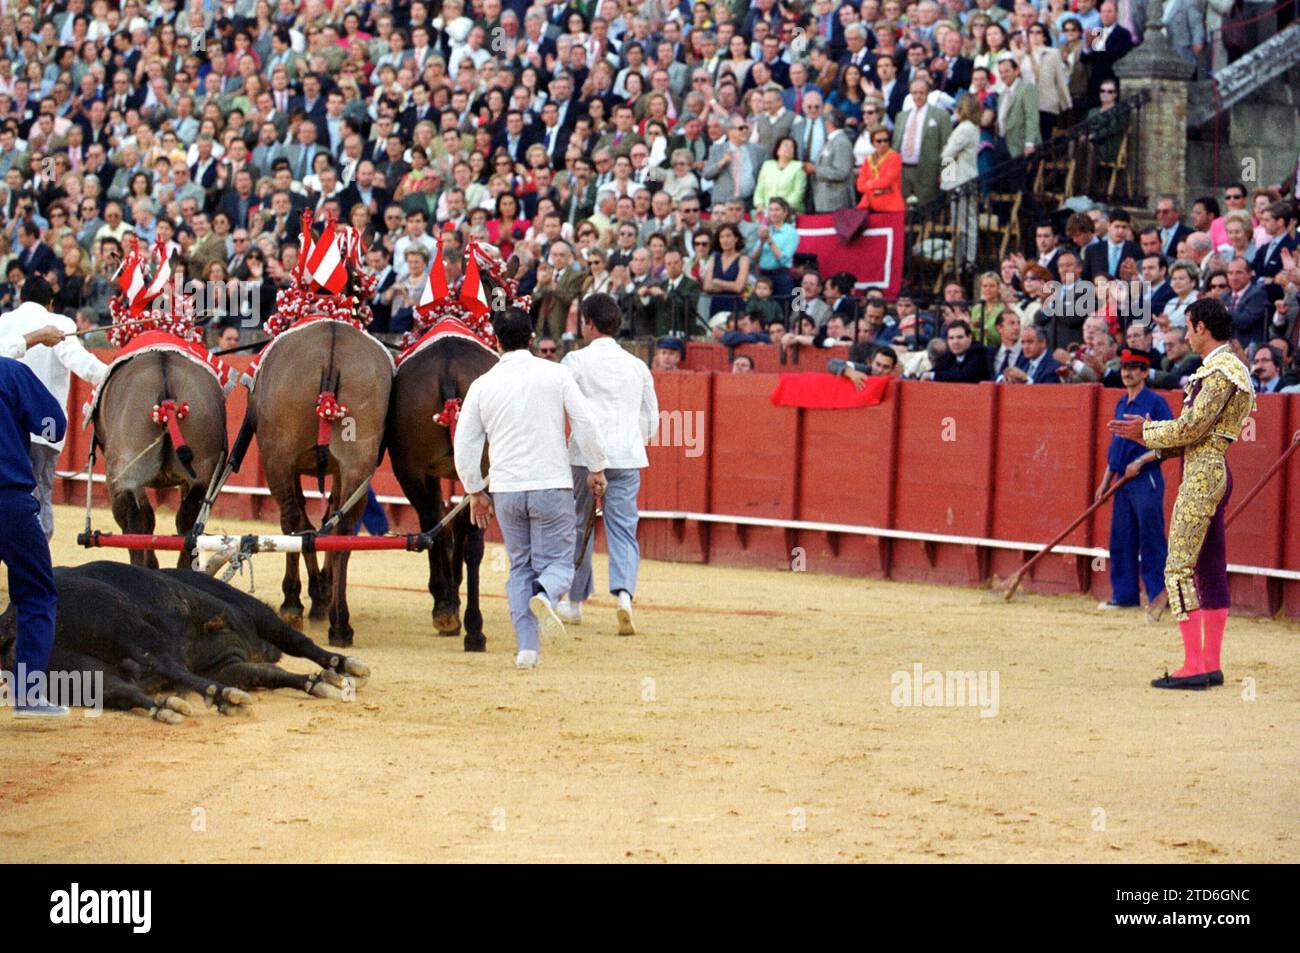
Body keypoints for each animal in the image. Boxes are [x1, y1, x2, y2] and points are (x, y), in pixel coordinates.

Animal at [2, 556, 374, 722]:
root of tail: (10, 618)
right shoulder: (253, 616)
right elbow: (297, 642)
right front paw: (342, 669)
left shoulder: (227, 665)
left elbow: (267, 674)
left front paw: (318, 681)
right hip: (124, 626)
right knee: (164, 663)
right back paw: (220, 697)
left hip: (73, 673)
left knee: (118, 689)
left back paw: (168, 708)